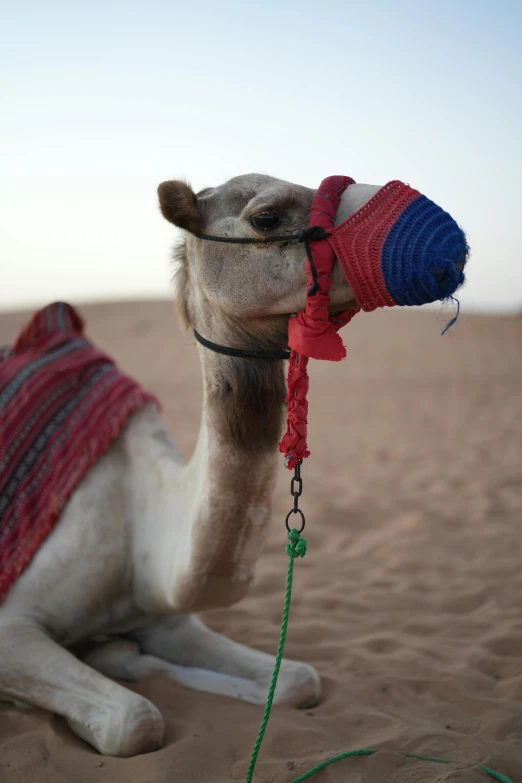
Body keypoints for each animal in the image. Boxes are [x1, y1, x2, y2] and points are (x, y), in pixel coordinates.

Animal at [0, 175, 382, 756]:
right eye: (266, 217)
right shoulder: (12, 627)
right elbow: (135, 721)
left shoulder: (167, 621)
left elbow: (299, 680)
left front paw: (116, 655)